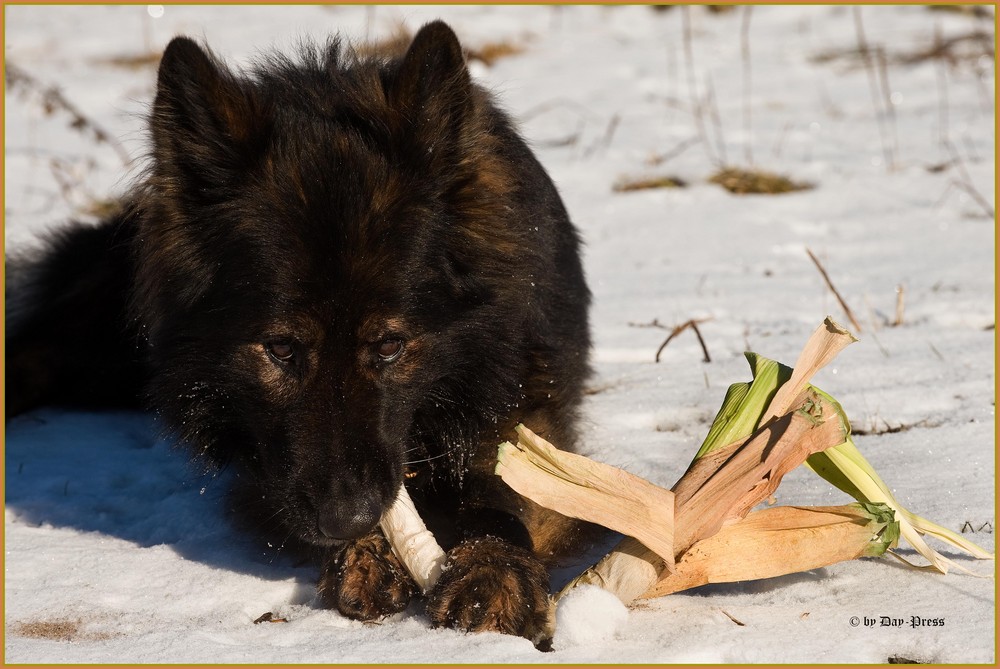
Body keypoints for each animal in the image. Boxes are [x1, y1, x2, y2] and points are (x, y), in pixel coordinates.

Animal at [3, 23, 588, 644]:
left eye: (389, 345)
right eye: (280, 348)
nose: (348, 518)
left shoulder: (524, 394)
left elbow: (510, 484)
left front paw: (493, 568)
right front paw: (366, 552)